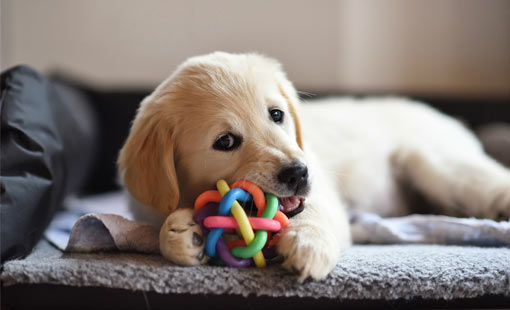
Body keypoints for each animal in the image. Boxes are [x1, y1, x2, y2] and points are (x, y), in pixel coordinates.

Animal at [119, 51, 510, 280]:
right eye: (225, 142)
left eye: (277, 115)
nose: (298, 173)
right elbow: (161, 227)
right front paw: (182, 233)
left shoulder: (322, 193)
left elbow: (313, 214)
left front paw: (308, 245)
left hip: (434, 164)